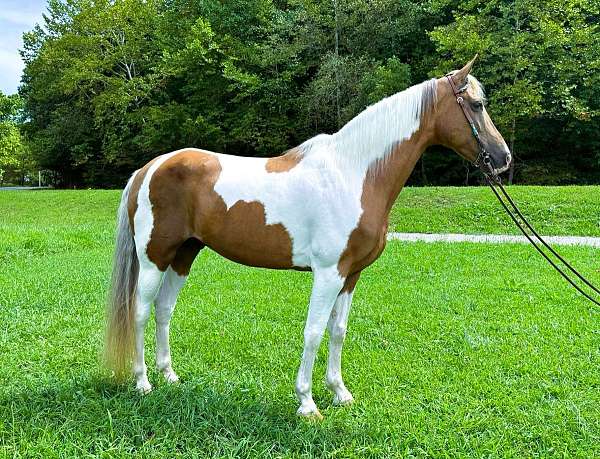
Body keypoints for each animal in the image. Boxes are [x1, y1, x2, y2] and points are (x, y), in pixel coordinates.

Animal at [104, 57, 510, 420]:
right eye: (476, 105)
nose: (503, 158)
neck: (354, 174)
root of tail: (149, 168)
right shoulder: (328, 273)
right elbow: (313, 332)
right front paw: (307, 403)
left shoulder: (350, 275)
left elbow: (337, 331)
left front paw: (340, 393)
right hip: (155, 257)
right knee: (140, 311)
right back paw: (143, 383)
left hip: (184, 255)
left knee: (164, 310)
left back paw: (169, 376)